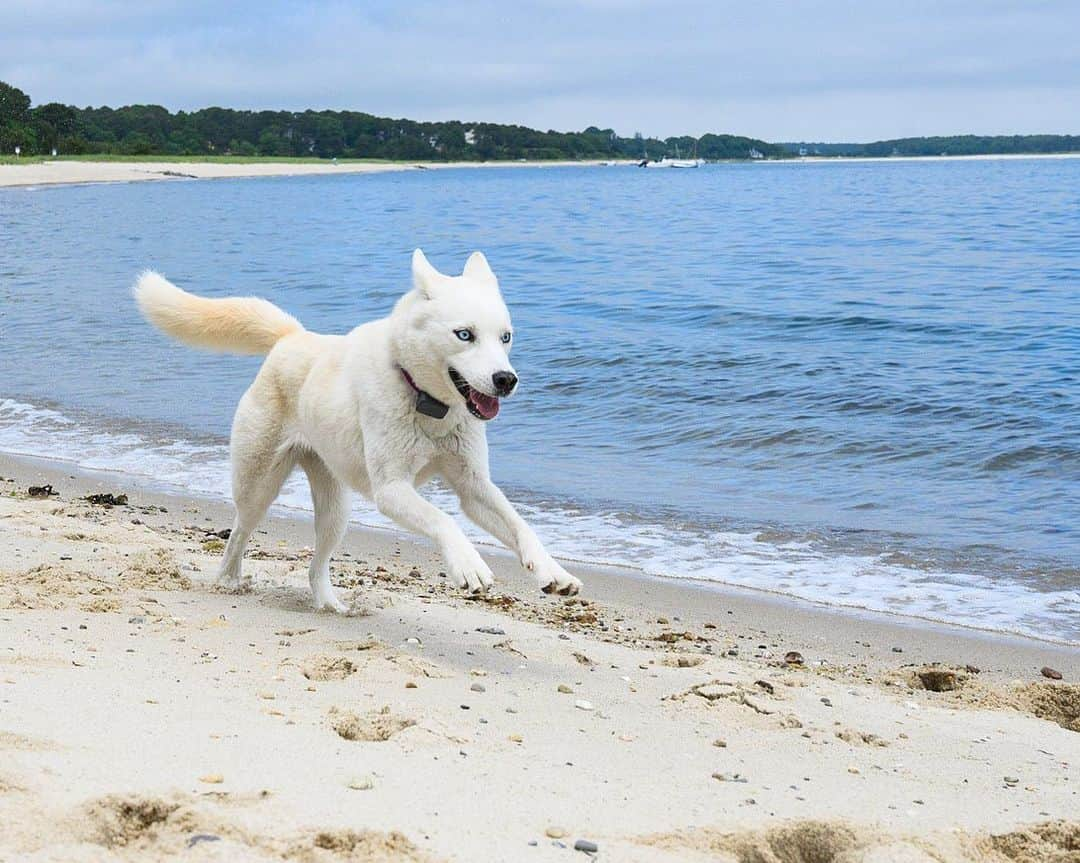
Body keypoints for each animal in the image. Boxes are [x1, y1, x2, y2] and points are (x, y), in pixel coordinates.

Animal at [135, 249, 583, 613]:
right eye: (464, 335)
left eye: (505, 337)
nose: (506, 380)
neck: (425, 401)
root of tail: (291, 337)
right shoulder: (391, 489)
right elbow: (443, 520)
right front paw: (469, 566)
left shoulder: (474, 487)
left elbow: (520, 525)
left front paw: (553, 572)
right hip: (257, 484)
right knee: (239, 533)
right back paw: (228, 581)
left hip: (336, 509)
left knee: (317, 564)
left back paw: (330, 605)